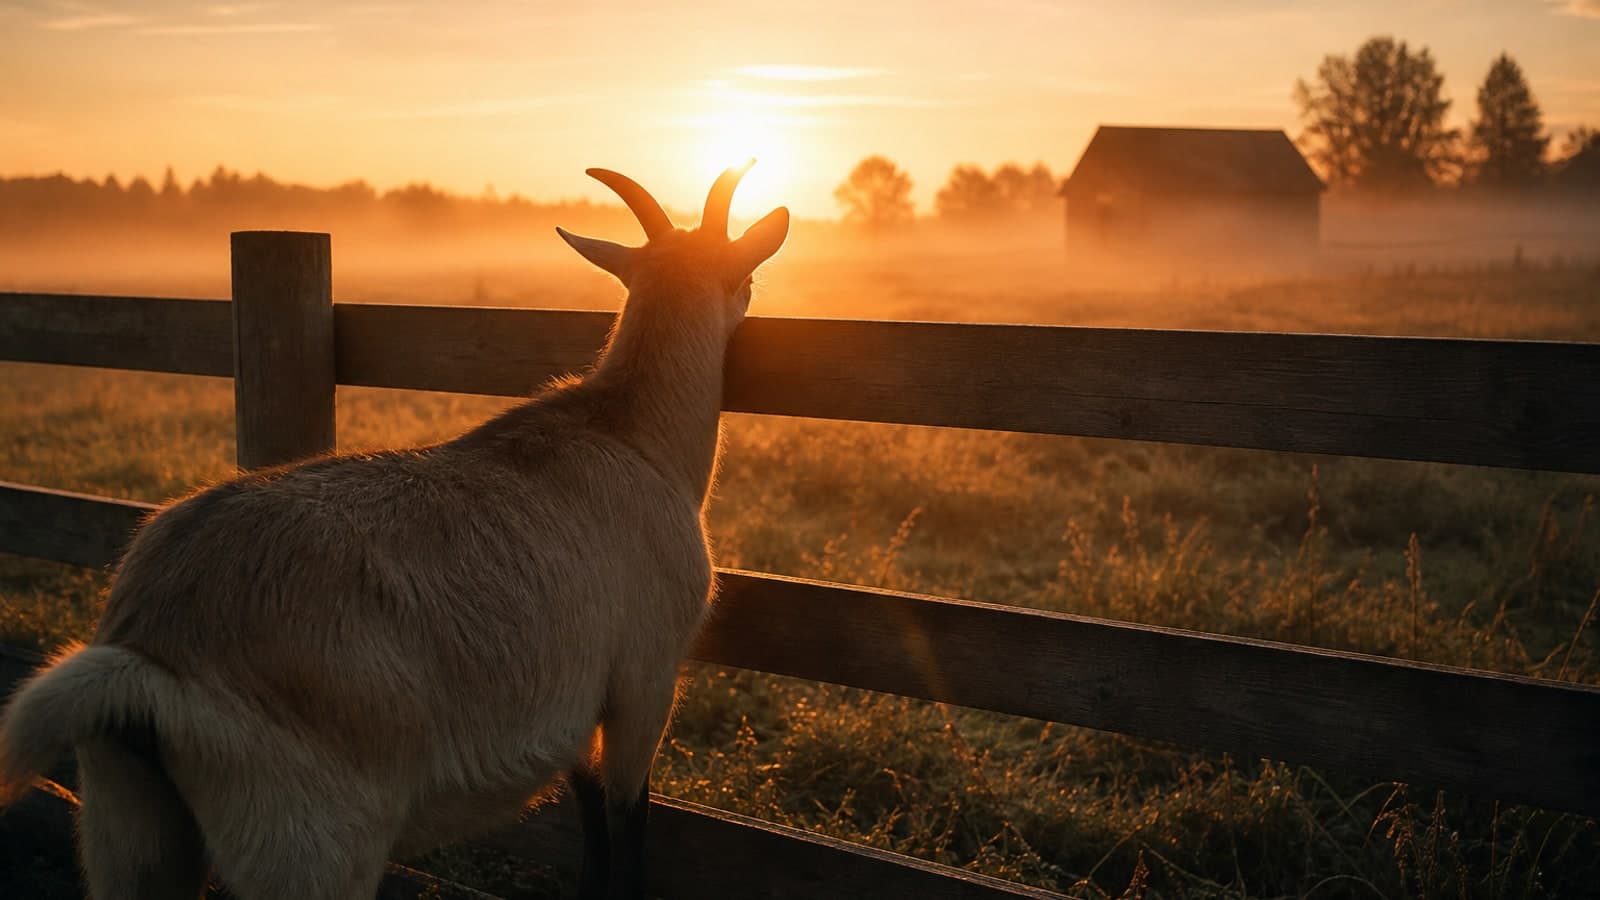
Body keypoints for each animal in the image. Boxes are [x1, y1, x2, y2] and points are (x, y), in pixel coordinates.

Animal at [0, 164, 789, 900]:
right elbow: (627, 820)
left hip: (128, 824)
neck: (628, 432)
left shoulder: (585, 703)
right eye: (746, 273)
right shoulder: (644, 678)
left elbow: (592, 816)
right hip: (306, 836)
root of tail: (147, 647)